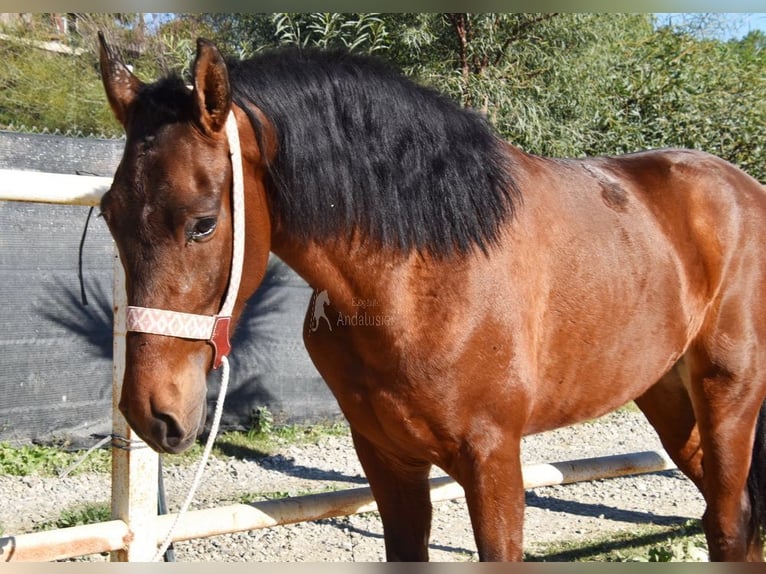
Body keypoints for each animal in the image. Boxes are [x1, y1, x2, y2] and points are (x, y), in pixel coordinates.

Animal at [96, 32, 766, 564]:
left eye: (204, 223)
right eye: (108, 214)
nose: (151, 412)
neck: (422, 277)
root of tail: (744, 188)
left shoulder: (493, 460)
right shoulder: (388, 460)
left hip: (728, 395)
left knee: (728, 522)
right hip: (669, 398)